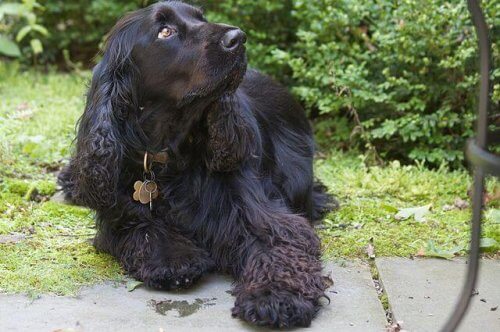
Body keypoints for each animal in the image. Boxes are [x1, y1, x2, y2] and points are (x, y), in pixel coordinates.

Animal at [59, 0, 336, 326]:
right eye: (165, 31)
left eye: (201, 18)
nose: (238, 38)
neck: (169, 154)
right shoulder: (119, 214)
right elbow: (145, 229)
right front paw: (174, 259)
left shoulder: (261, 214)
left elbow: (279, 246)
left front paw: (276, 295)